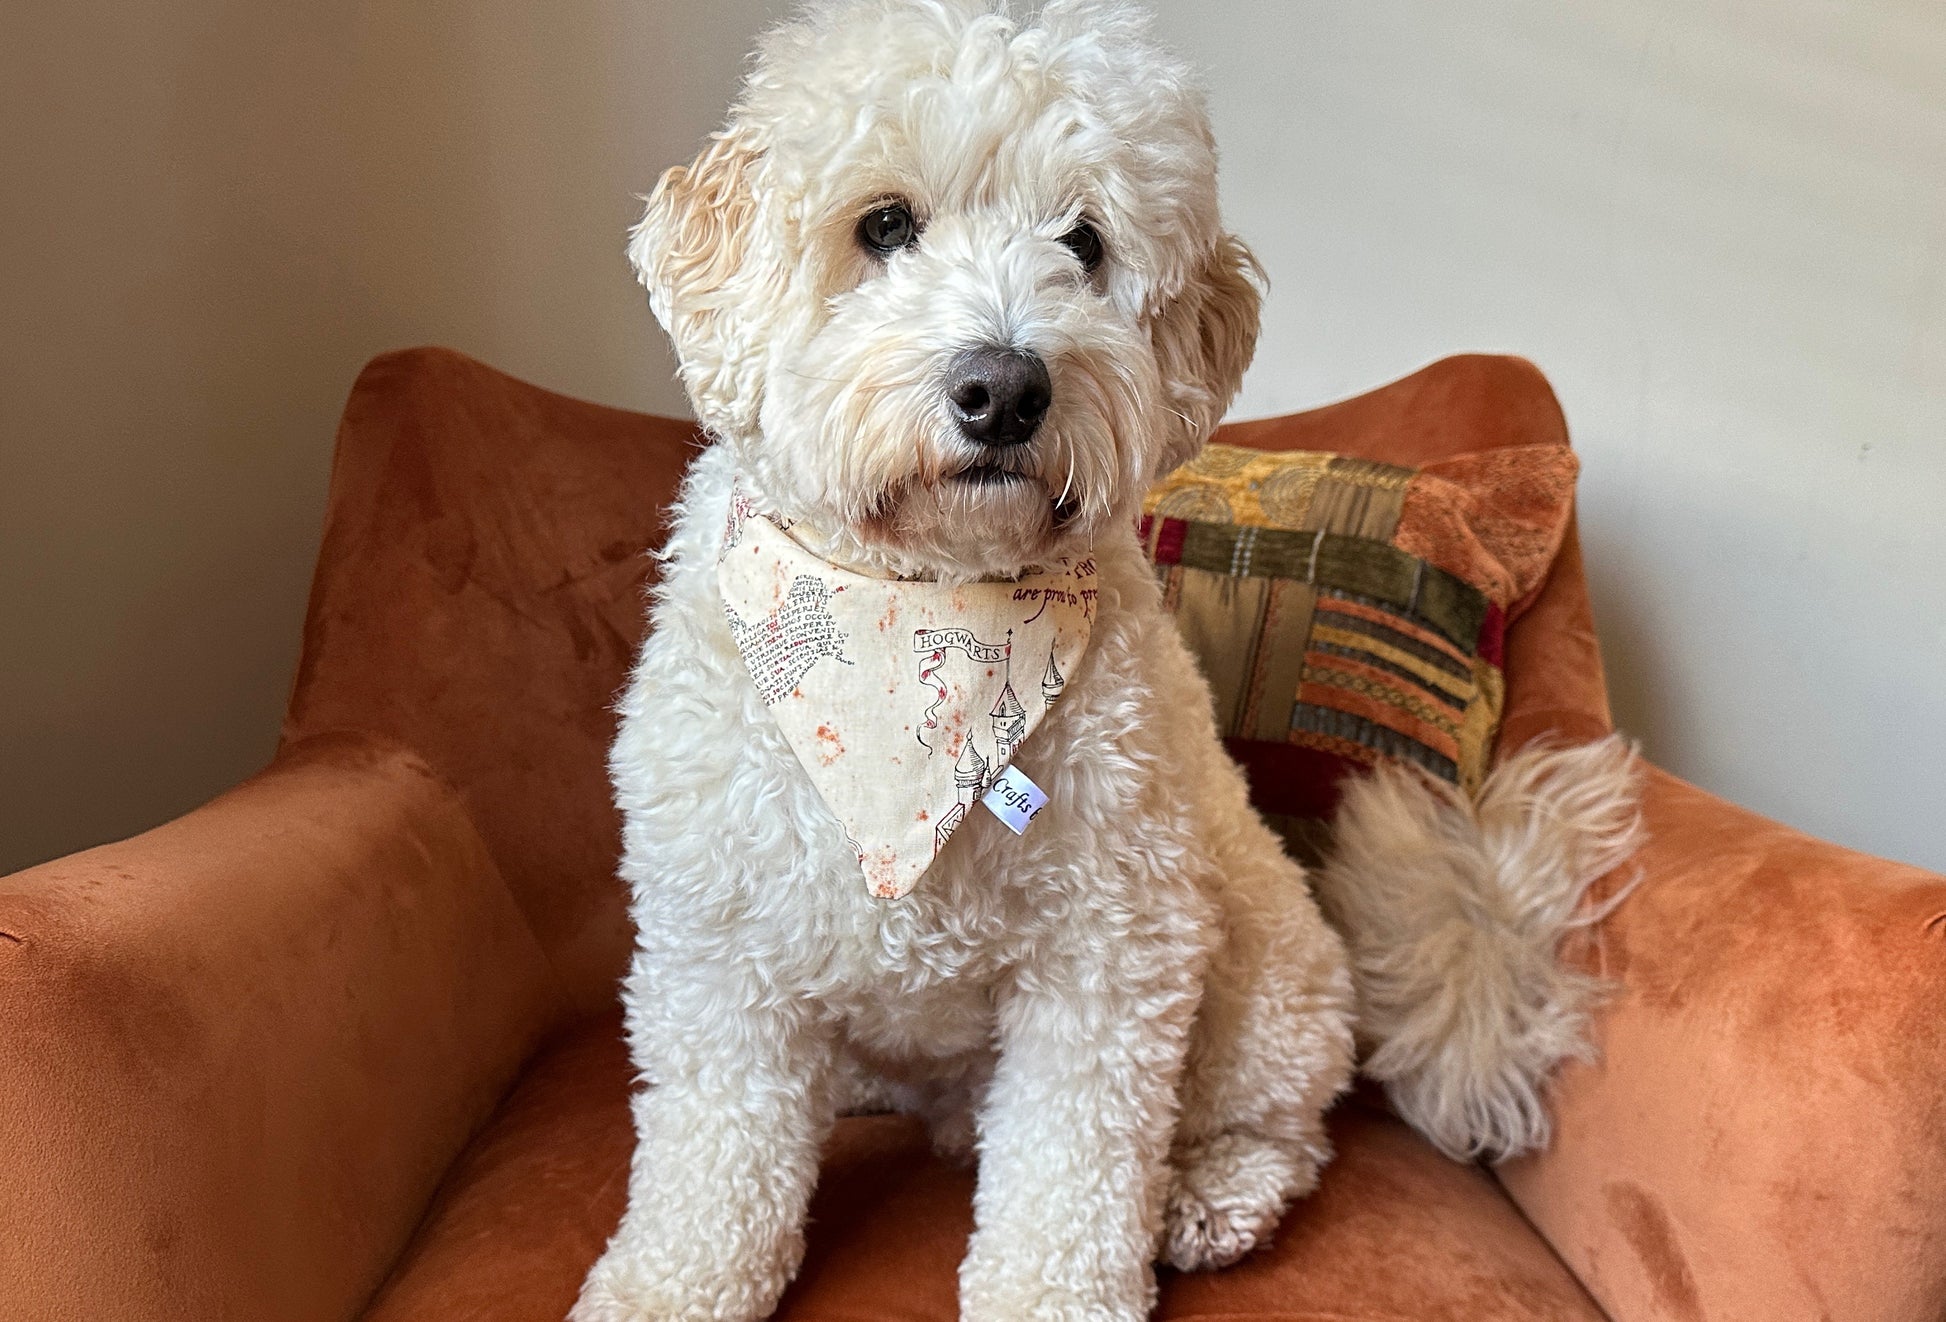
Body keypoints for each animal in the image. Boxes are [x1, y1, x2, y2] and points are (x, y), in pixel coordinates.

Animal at [576, 2, 1362, 1322]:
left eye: (1083, 243)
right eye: (883, 225)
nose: (1003, 387)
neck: (913, 623)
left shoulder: (1110, 950)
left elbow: (1072, 1170)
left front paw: (1053, 1287)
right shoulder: (719, 943)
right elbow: (711, 1154)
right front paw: (668, 1281)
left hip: (1257, 953)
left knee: (1275, 1120)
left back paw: (1209, 1190)